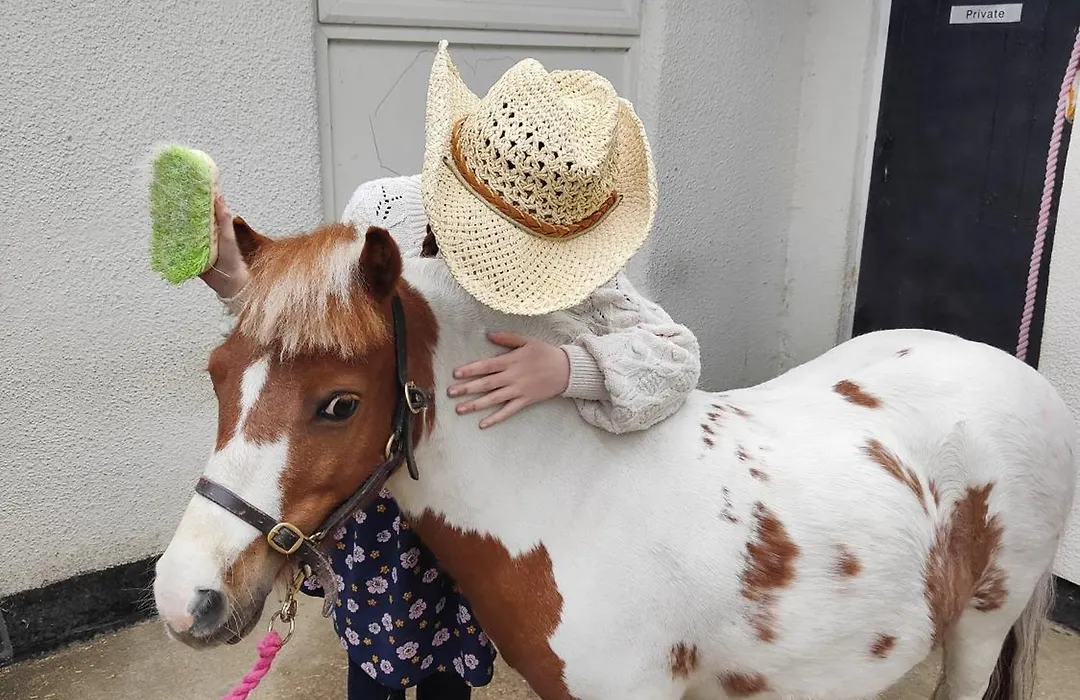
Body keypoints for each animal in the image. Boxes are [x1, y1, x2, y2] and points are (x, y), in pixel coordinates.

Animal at [154, 220, 1076, 700]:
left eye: (338, 404)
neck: (573, 506)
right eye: (217, 375)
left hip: (981, 624)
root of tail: (1026, 377)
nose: (185, 595)